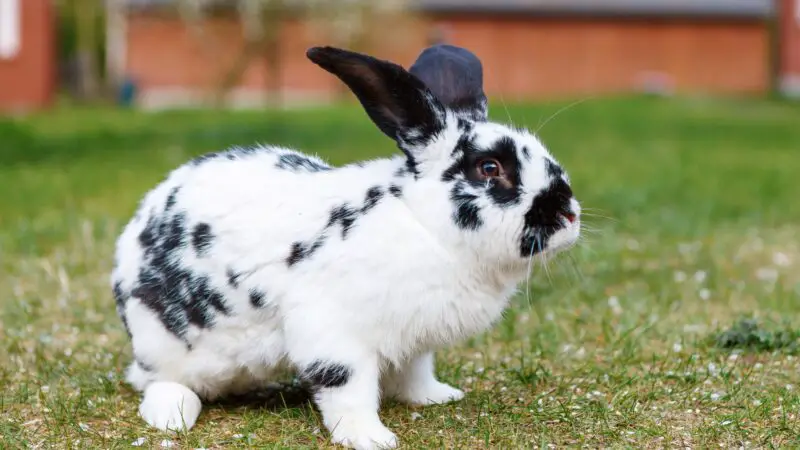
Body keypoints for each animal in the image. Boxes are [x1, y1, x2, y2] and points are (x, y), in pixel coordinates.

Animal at [109, 43, 580, 450]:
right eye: (489, 168)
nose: (569, 215)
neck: (421, 222)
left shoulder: (414, 342)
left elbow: (415, 374)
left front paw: (437, 396)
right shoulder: (332, 334)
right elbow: (348, 390)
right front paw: (371, 438)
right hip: (166, 344)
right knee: (161, 382)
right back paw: (172, 416)